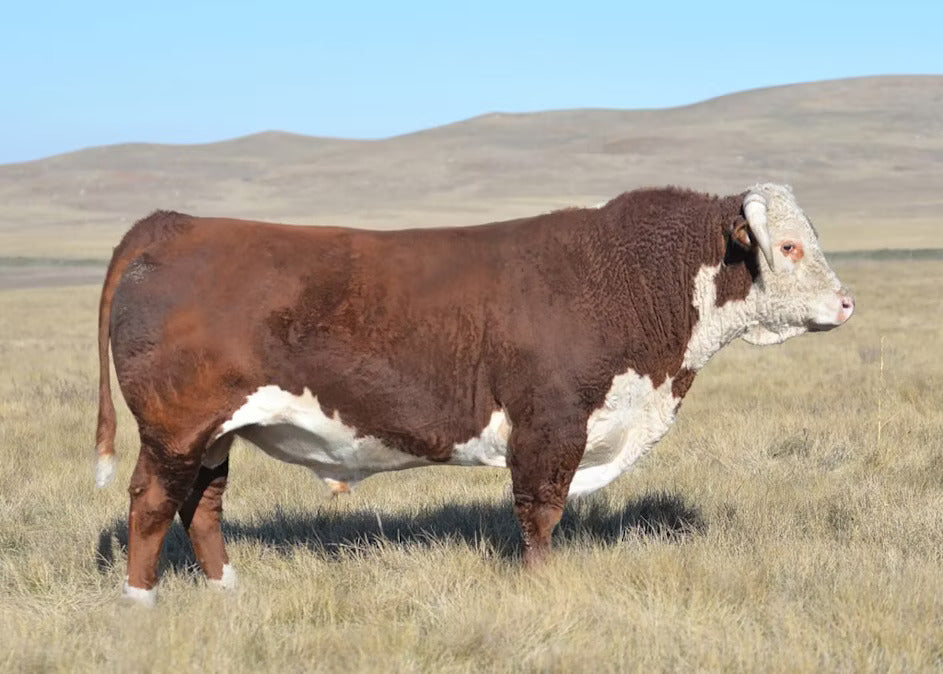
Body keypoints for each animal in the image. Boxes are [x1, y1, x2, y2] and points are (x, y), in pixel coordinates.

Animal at [94, 183, 854, 604]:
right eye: (788, 247)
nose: (846, 303)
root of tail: (176, 223)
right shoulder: (550, 427)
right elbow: (541, 514)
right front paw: (539, 584)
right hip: (176, 427)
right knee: (153, 502)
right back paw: (139, 603)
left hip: (213, 434)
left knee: (203, 503)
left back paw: (227, 590)